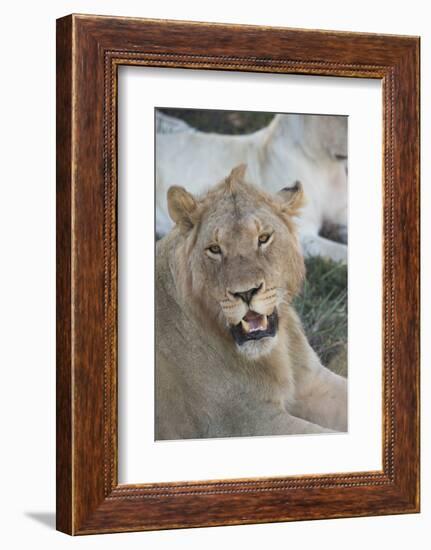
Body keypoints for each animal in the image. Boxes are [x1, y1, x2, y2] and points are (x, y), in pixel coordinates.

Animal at [155, 165, 348, 444]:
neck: (277, 351)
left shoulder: (314, 382)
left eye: (263, 238)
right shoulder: (243, 422)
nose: (246, 293)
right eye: (214, 249)